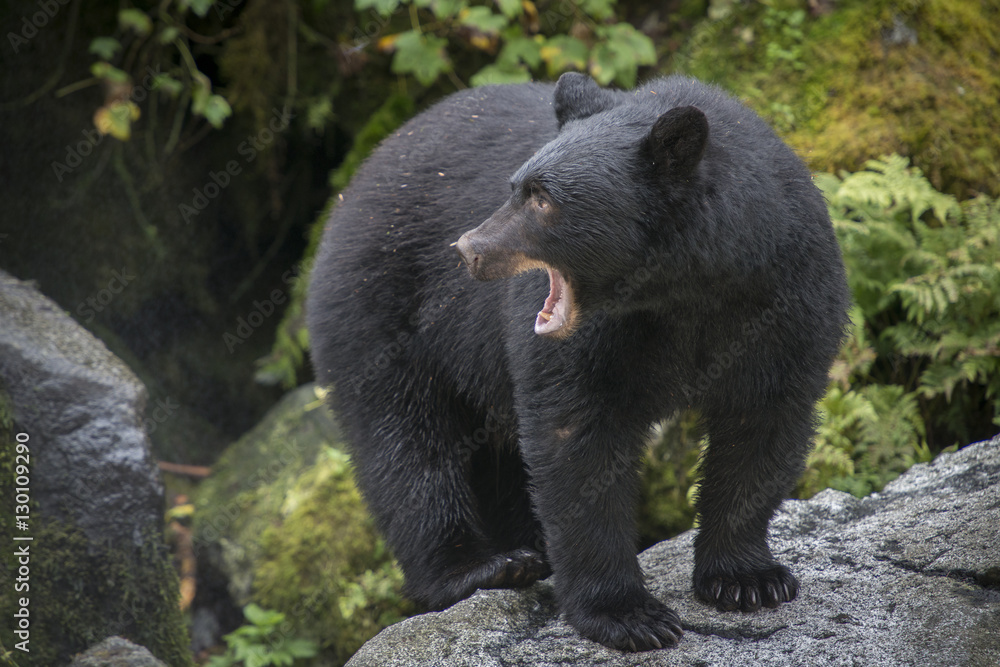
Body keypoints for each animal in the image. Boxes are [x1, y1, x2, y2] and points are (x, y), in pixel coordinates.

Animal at [307, 72, 850, 651]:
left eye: (542, 198)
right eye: (514, 187)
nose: (468, 249)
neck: (685, 289)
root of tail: (356, 181)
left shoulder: (787, 295)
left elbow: (763, 423)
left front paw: (747, 579)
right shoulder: (587, 339)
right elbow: (577, 440)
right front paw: (627, 614)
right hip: (381, 310)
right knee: (405, 442)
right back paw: (482, 566)